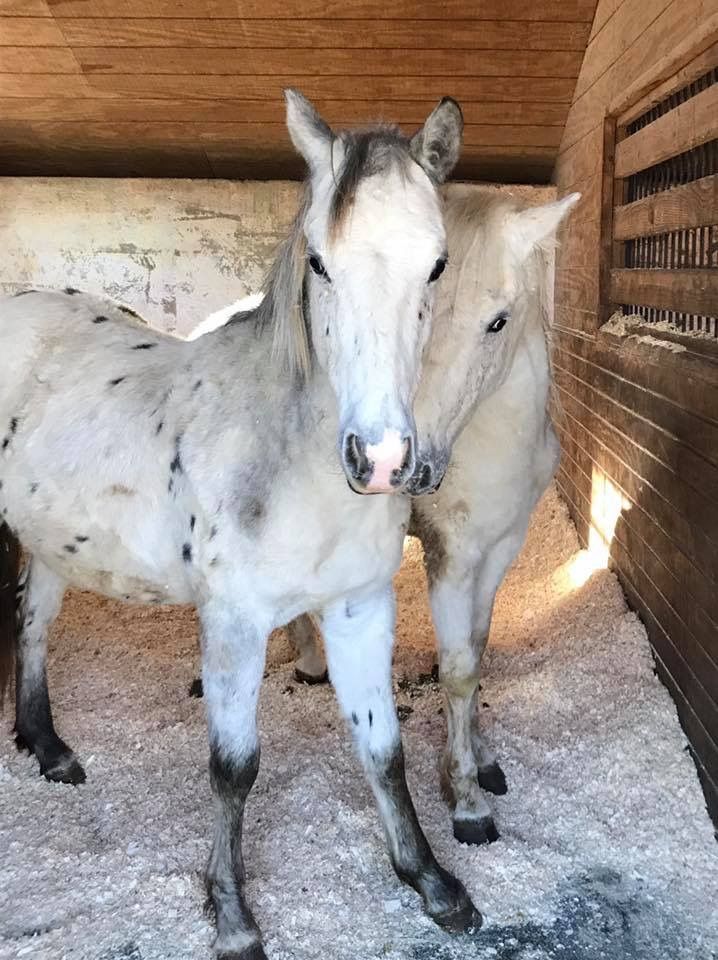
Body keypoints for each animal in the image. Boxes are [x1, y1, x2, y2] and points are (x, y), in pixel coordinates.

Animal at [0, 90, 474, 958]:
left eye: (436, 264)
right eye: (318, 263)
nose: (381, 459)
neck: (291, 462)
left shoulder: (359, 609)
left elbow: (383, 751)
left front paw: (430, 881)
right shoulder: (235, 622)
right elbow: (234, 769)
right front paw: (231, 915)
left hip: (52, 540)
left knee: (34, 622)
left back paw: (47, 747)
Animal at [281, 185, 580, 846]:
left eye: (498, 321)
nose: (408, 466)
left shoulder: (500, 549)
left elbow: (477, 648)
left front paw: (480, 759)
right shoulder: (452, 556)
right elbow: (459, 669)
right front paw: (466, 801)